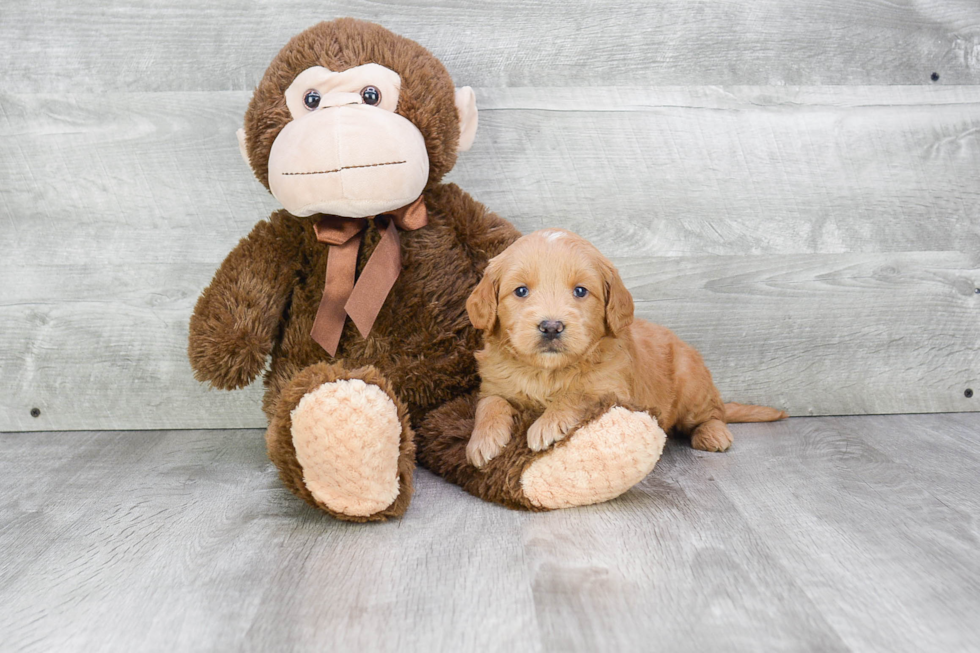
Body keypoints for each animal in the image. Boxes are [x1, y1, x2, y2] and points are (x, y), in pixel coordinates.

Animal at [464, 227, 784, 466]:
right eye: (520, 291)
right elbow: (489, 404)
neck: (547, 371)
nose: (551, 327)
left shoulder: (614, 391)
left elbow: (578, 394)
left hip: (692, 388)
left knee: (713, 415)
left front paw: (547, 423)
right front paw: (483, 440)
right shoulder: (494, 384)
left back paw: (714, 435)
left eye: (580, 291)